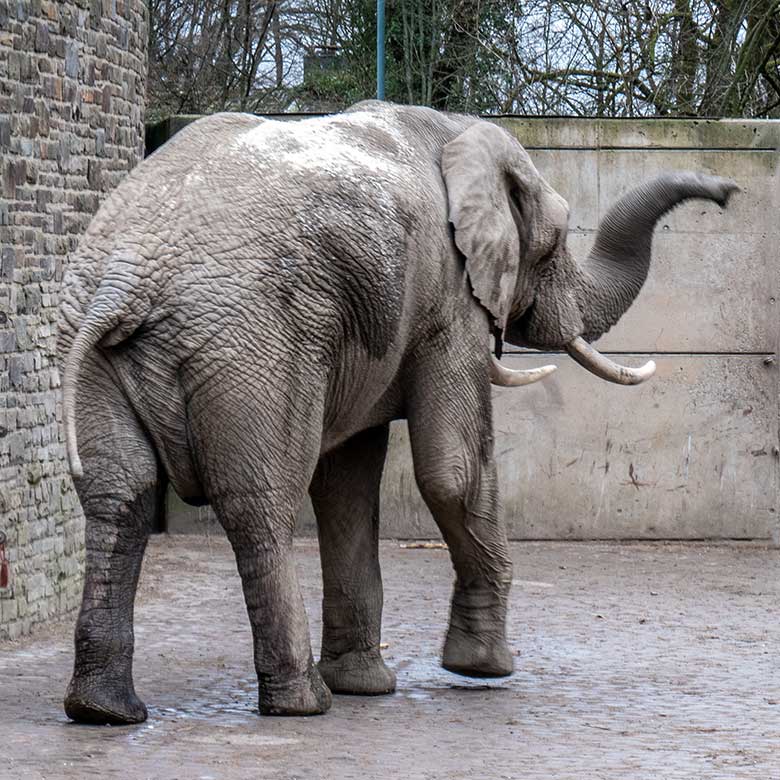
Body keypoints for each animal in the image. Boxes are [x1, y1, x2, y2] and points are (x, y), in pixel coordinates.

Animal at [58, 99, 736, 724]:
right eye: (552, 247)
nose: (727, 191)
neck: (459, 135)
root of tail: (129, 275)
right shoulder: (451, 299)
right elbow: (452, 471)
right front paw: (483, 669)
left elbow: (348, 482)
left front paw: (367, 686)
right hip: (251, 344)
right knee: (260, 502)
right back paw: (303, 704)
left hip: (89, 347)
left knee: (119, 496)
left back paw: (105, 712)